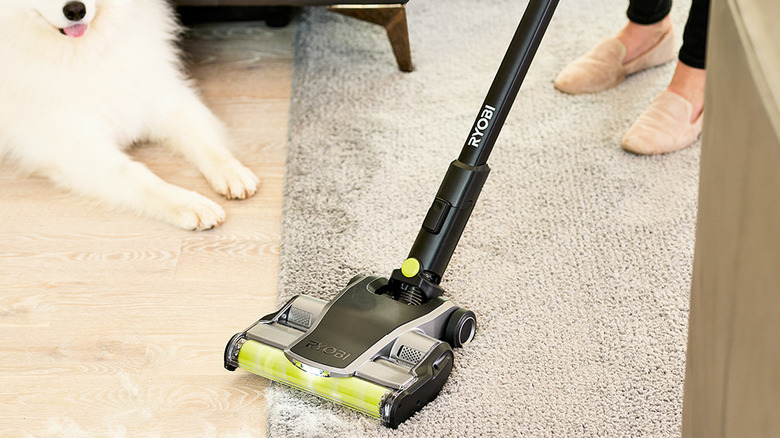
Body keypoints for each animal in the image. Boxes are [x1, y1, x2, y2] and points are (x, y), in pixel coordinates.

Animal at [0, 0, 262, 231]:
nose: (75, 10)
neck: (88, 53)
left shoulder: (164, 102)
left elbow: (206, 143)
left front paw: (232, 172)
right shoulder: (78, 147)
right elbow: (139, 177)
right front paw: (190, 204)